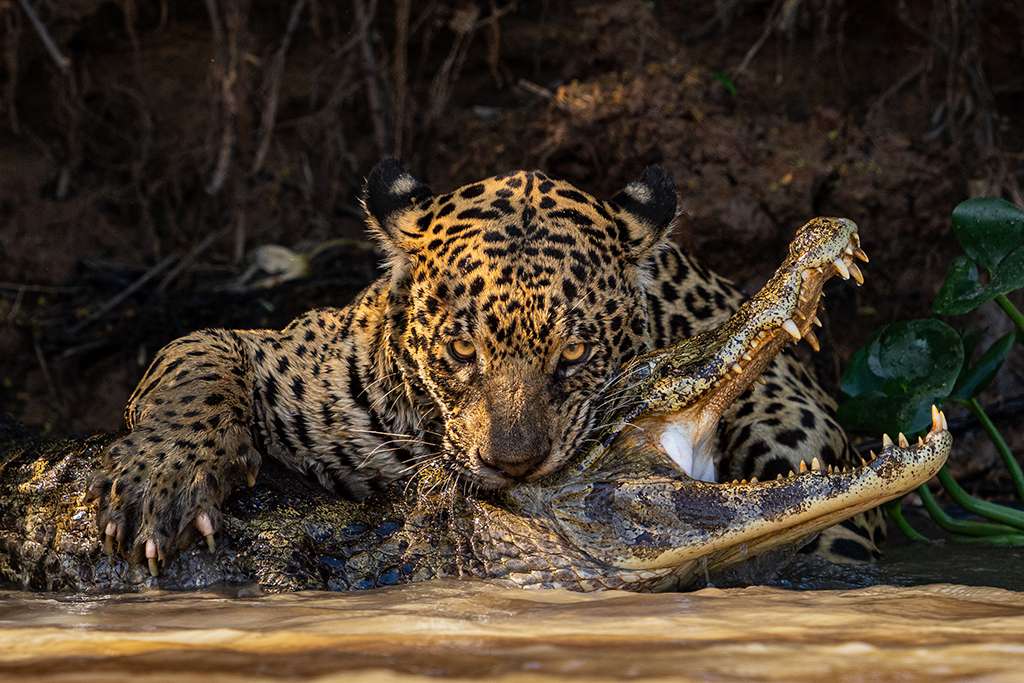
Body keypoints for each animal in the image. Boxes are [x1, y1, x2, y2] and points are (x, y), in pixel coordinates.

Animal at [94, 158, 883, 572]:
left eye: (574, 353)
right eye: (462, 350)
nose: (513, 465)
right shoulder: (274, 352)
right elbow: (196, 369)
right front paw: (162, 483)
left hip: (790, 420)